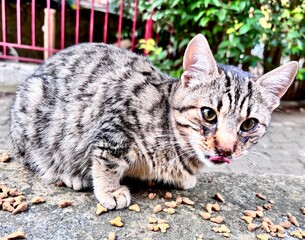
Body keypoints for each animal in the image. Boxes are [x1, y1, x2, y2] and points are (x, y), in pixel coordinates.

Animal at [9, 34, 296, 210]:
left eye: (248, 124)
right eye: (209, 114)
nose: (225, 149)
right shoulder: (115, 120)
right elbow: (106, 159)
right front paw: (109, 190)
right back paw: (69, 174)